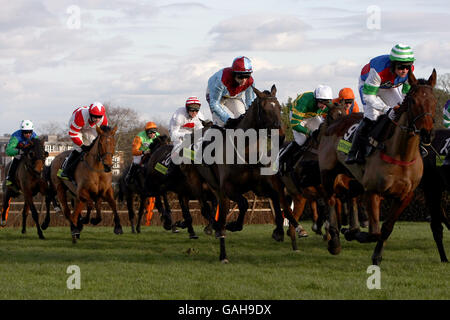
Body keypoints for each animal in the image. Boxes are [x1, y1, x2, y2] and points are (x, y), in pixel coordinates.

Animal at [318, 70, 438, 264]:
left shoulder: (405, 196)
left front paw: (376, 254)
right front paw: (354, 235)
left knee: (349, 197)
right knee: (330, 200)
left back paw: (350, 229)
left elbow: (387, 228)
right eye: (413, 101)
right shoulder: (373, 191)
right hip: (328, 174)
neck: (402, 154)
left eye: (434, 101)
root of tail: (335, 122)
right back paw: (335, 241)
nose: (427, 133)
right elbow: (375, 232)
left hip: (352, 178)